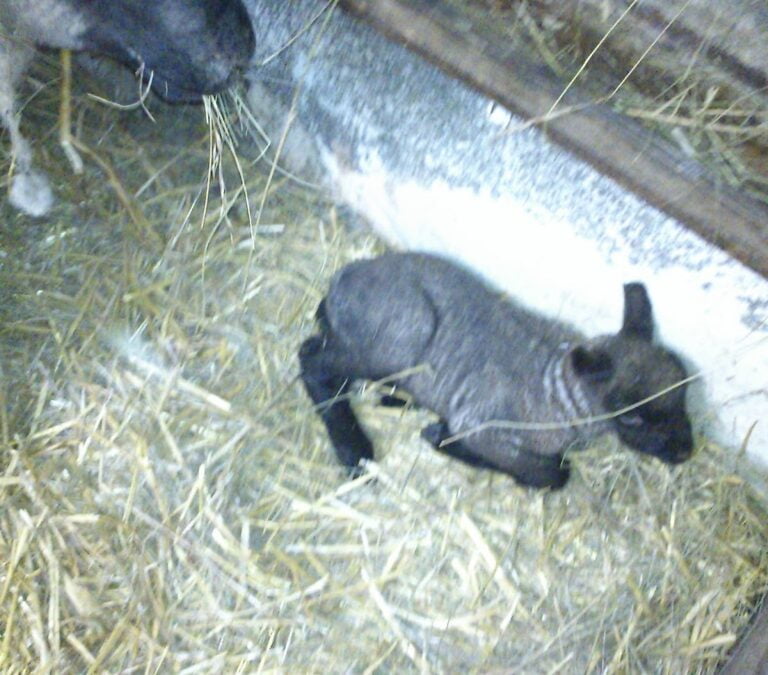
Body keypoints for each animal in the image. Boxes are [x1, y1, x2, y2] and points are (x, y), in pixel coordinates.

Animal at [299, 252, 694, 489]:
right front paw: (441, 437)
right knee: (313, 363)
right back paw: (355, 452)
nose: (685, 453)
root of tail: (342, 279)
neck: (557, 396)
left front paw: (437, 430)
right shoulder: (481, 423)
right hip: (403, 337)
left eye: (685, 393)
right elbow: (552, 473)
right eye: (632, 417)